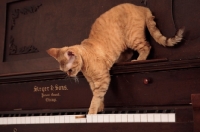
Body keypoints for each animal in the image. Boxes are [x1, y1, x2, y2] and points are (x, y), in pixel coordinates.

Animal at [47, 3, 184, 114]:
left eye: (69, 70)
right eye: (64, 71)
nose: (69, 76)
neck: (85, 65)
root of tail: (140, 7)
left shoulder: (103, 79)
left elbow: (95, 99)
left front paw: (91, 113)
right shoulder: (93, 83)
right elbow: (98, 96)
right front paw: (100, 108)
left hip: (133, 38)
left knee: (146, 46)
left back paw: (139, 59)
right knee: (129, 53)